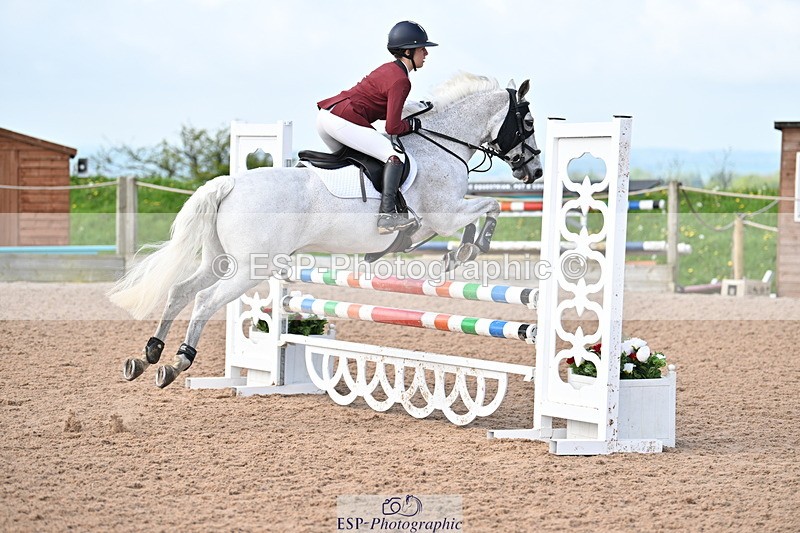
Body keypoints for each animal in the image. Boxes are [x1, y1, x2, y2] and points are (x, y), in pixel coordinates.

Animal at [108, 71, 544, 388]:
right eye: (527, 121)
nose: (535, 171)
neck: (440, 144)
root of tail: (230, 183)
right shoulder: (445, 215)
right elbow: (490, 207)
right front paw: (467, 250)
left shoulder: (444, 218)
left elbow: (480, 212)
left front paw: (459, 252)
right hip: (251, 268)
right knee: (203, 300)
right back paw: (177, 362)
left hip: (221, 259)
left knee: (181, 291)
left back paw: (148, 356)